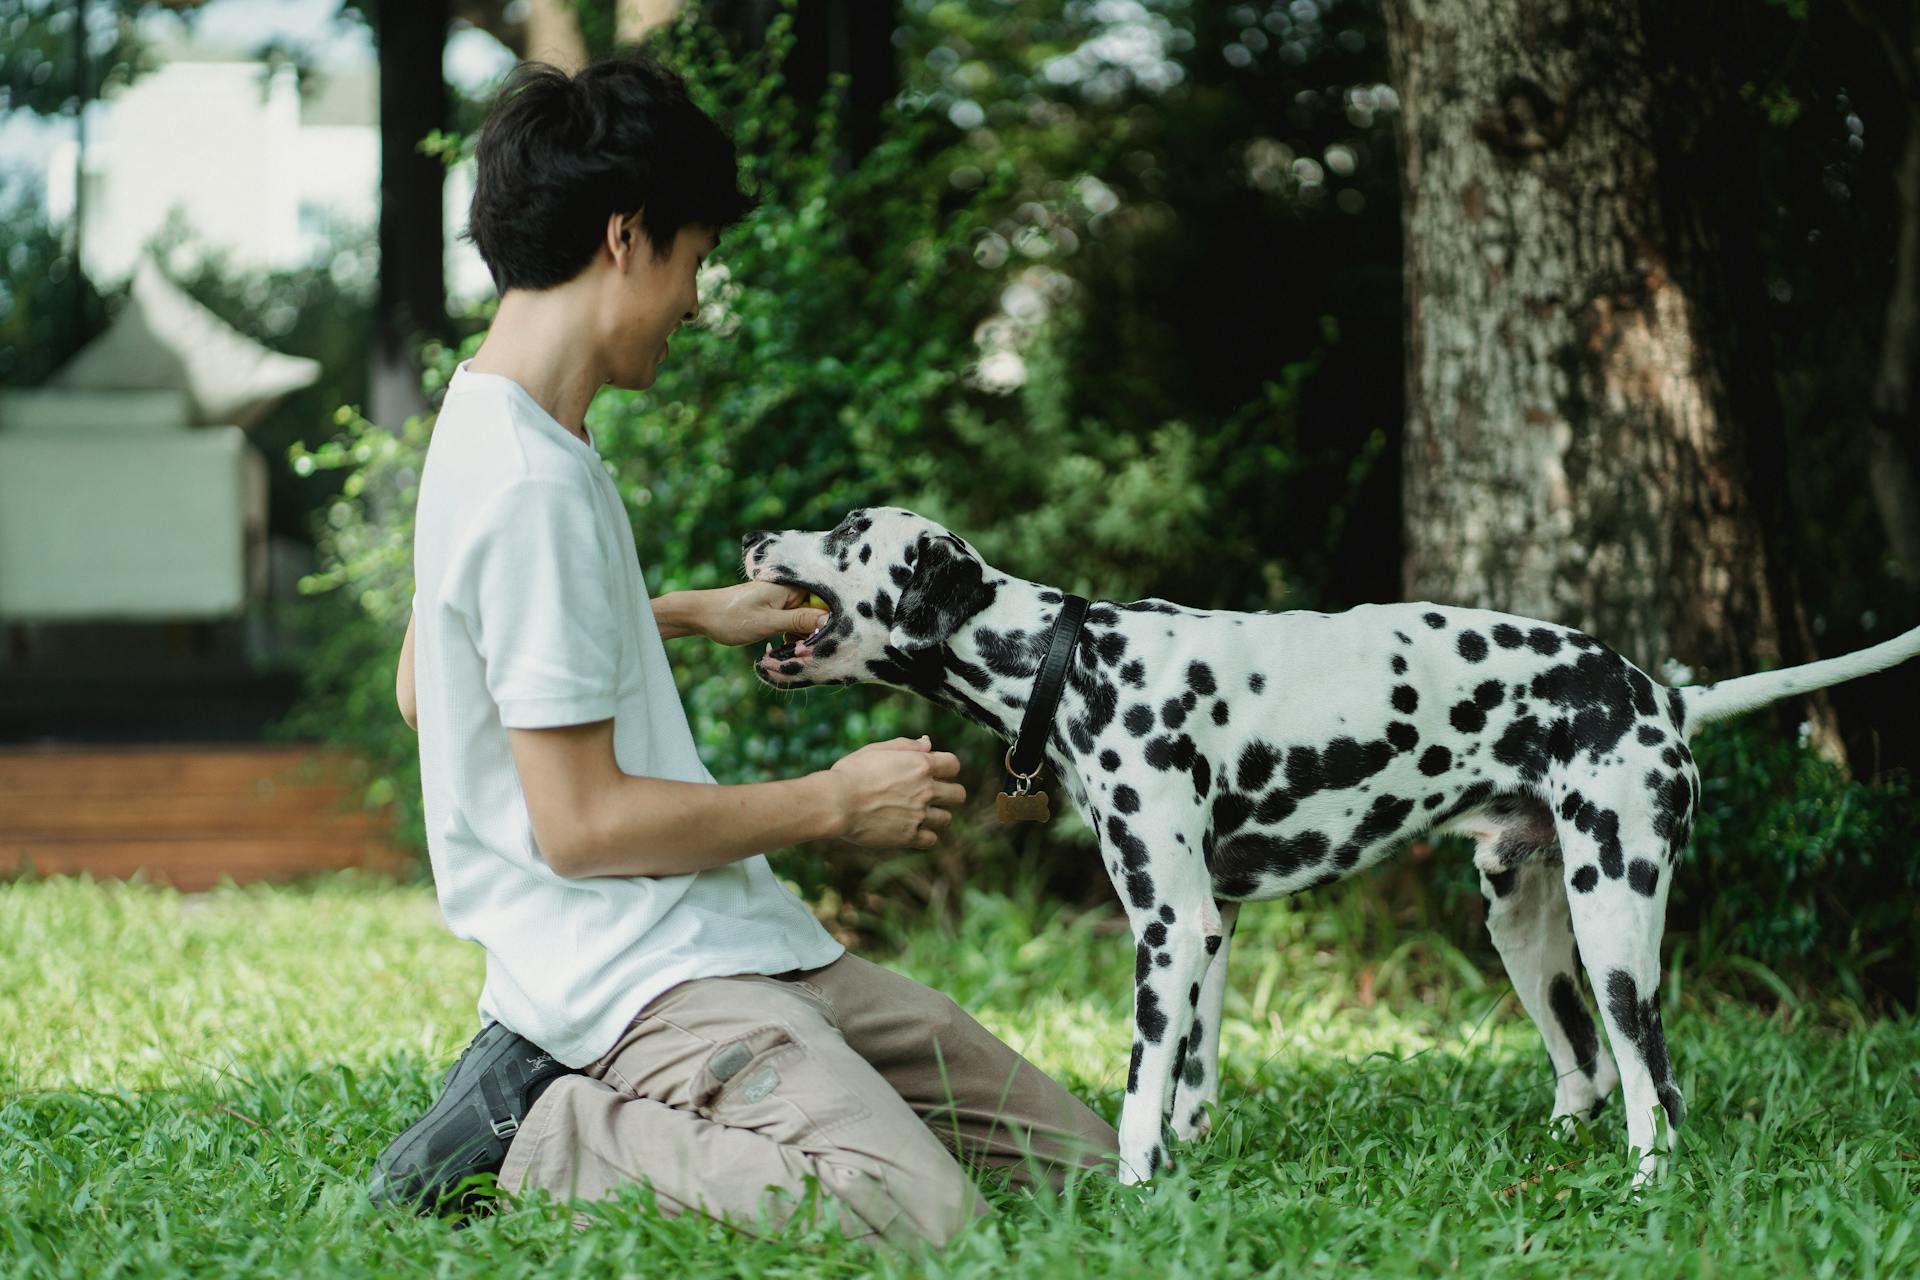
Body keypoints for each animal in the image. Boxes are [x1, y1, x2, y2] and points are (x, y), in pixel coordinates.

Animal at [737, 506, 1920, 1189]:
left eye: (848, 533)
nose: (753, 537)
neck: (1072, 662)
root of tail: (1657, 694)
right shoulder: (1207, 930)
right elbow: (1191, 1084)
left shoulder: (1166, 929)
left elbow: (1136, 1096)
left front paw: (1132, 1193)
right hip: (1527, 931)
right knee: (1585, 1071)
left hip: (1617, 928)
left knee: (1653, 1088)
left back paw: (1643, 1190)